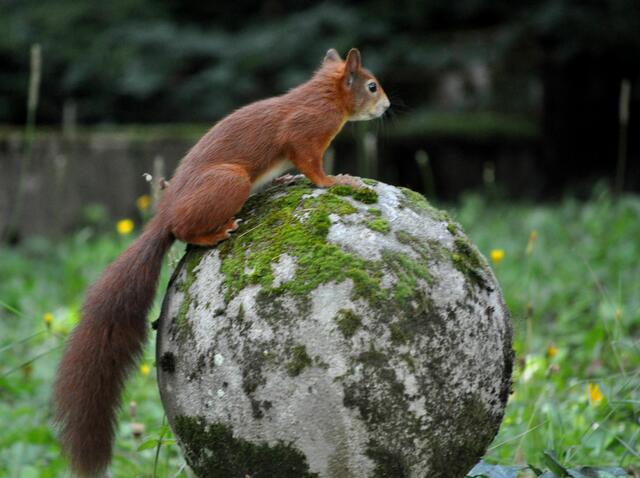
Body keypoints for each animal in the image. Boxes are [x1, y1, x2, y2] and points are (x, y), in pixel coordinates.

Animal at [52, 47, 390, 476]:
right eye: (372, 86)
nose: (387, 106)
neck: (323, 97)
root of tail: (164, 213)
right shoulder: (304, 134)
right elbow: (313, 168)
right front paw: (337, 181)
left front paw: (289, 180)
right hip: (229, 181)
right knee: (183, 231)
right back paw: (213, 233)